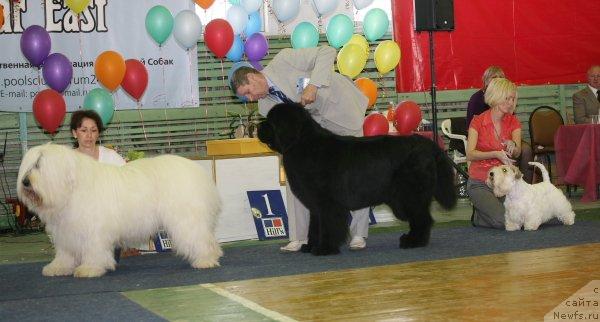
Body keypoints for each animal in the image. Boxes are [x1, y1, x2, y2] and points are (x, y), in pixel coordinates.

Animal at [17, 143, 223, 276]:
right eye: (29, 165)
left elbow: (93, 250)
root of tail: (196, 170)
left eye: (39, 164)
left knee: (200, 238)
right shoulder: (66, 231)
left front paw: (89, 269)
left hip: (186, 218)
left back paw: (205, 260)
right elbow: (65, 253)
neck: (71, 186)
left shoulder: (93, 230)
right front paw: (57, 268)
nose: (25, 182)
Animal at [256, 104, 454, 255]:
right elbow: (315, 226)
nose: (258, 127)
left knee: (422, 218)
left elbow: (327, 226)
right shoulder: (315, 204)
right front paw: (310, 246)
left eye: (271, 121)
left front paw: (324, 249)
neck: (302, 144)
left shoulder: (328, 203)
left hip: (409, 195)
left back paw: (413, 242)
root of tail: (427, 144)